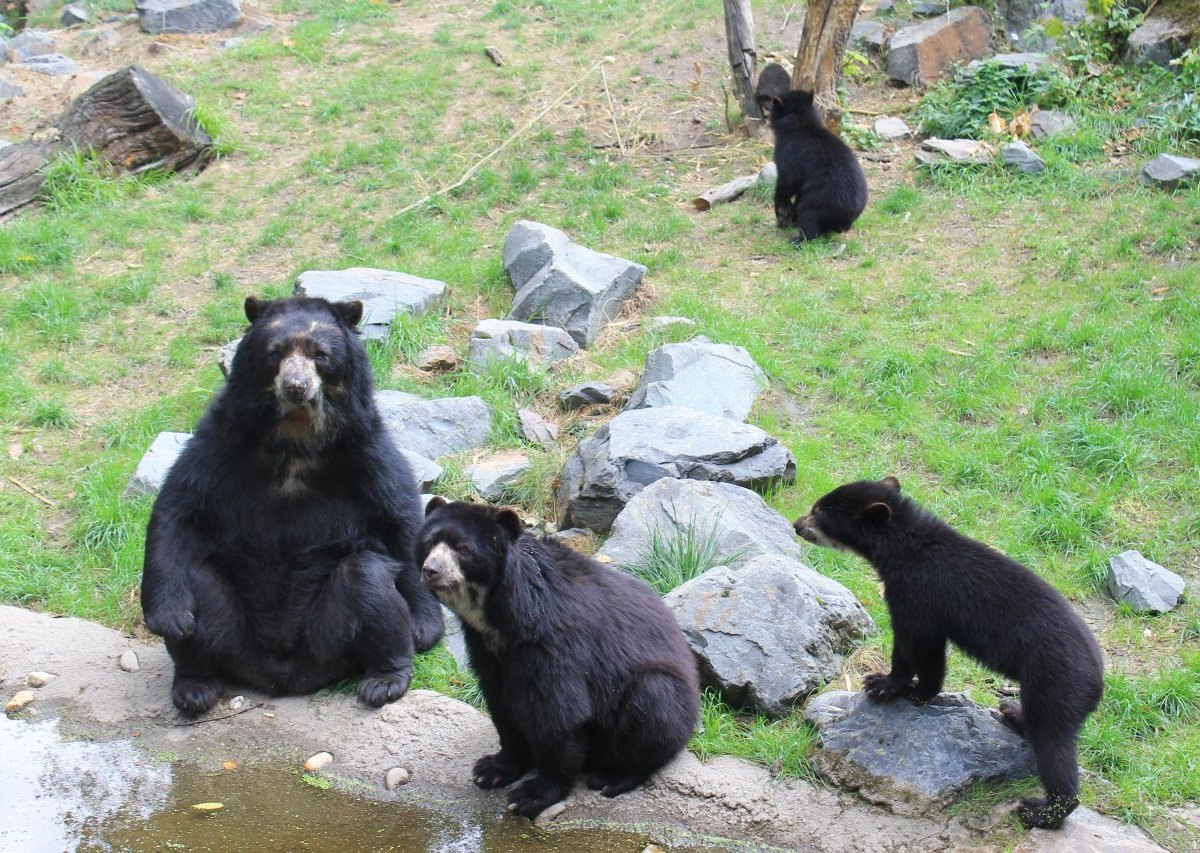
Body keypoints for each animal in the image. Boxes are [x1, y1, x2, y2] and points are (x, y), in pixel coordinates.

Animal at [140, 297, 441, 715]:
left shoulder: (366, 450)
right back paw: (195, 687)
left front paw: (425, 627)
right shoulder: (220, 442)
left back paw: (384, 681)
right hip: (235, 637)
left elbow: (400, 518)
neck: (295, 439)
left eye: (320, 355)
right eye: (275, 353)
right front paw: (170, 619)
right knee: (197, 580)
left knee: (367, 579)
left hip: (329, 638)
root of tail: (283, 677)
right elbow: (178, 510)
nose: (296, 385)